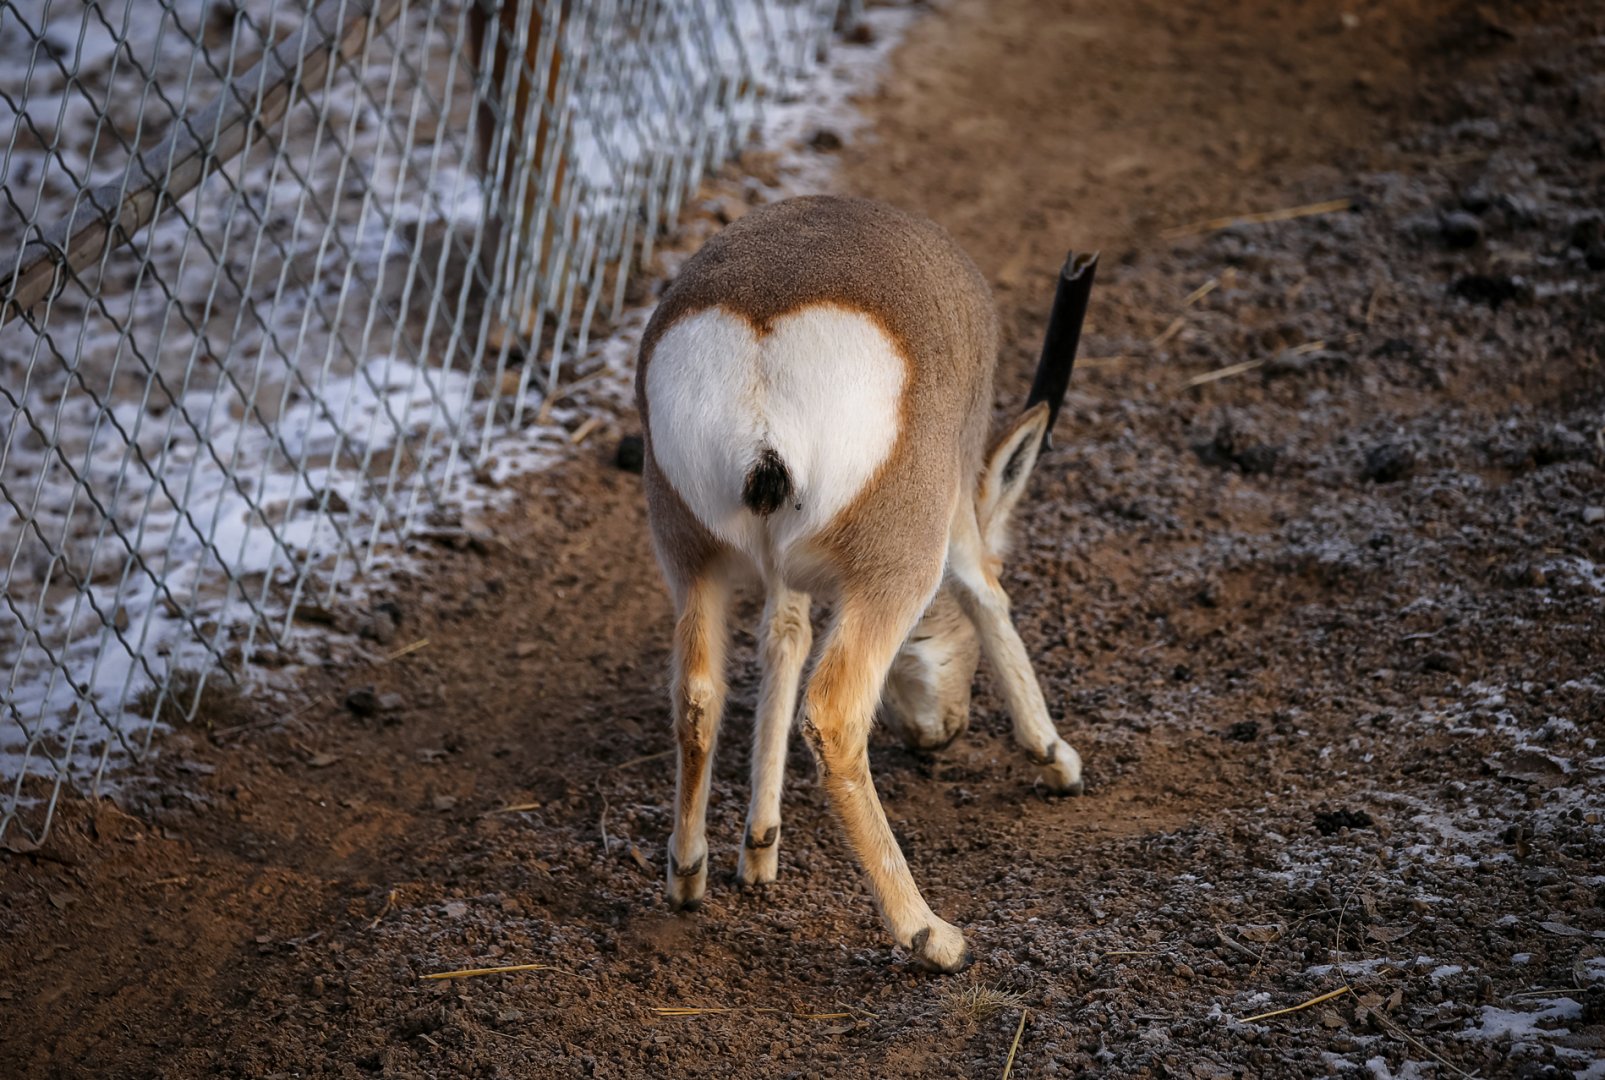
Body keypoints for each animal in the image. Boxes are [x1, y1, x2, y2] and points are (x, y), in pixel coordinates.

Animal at [635, 195, 1086, 972]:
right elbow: (985, 591)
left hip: (691, 562)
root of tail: (763, 326)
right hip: (896, 567)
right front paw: (1055, 758)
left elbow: (784, 639)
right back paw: (930, 933)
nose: (941, 733)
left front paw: (759, 847)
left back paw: (687, 875)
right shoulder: (953, 509)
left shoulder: (779, 576)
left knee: (696, 696)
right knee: (834, 713)